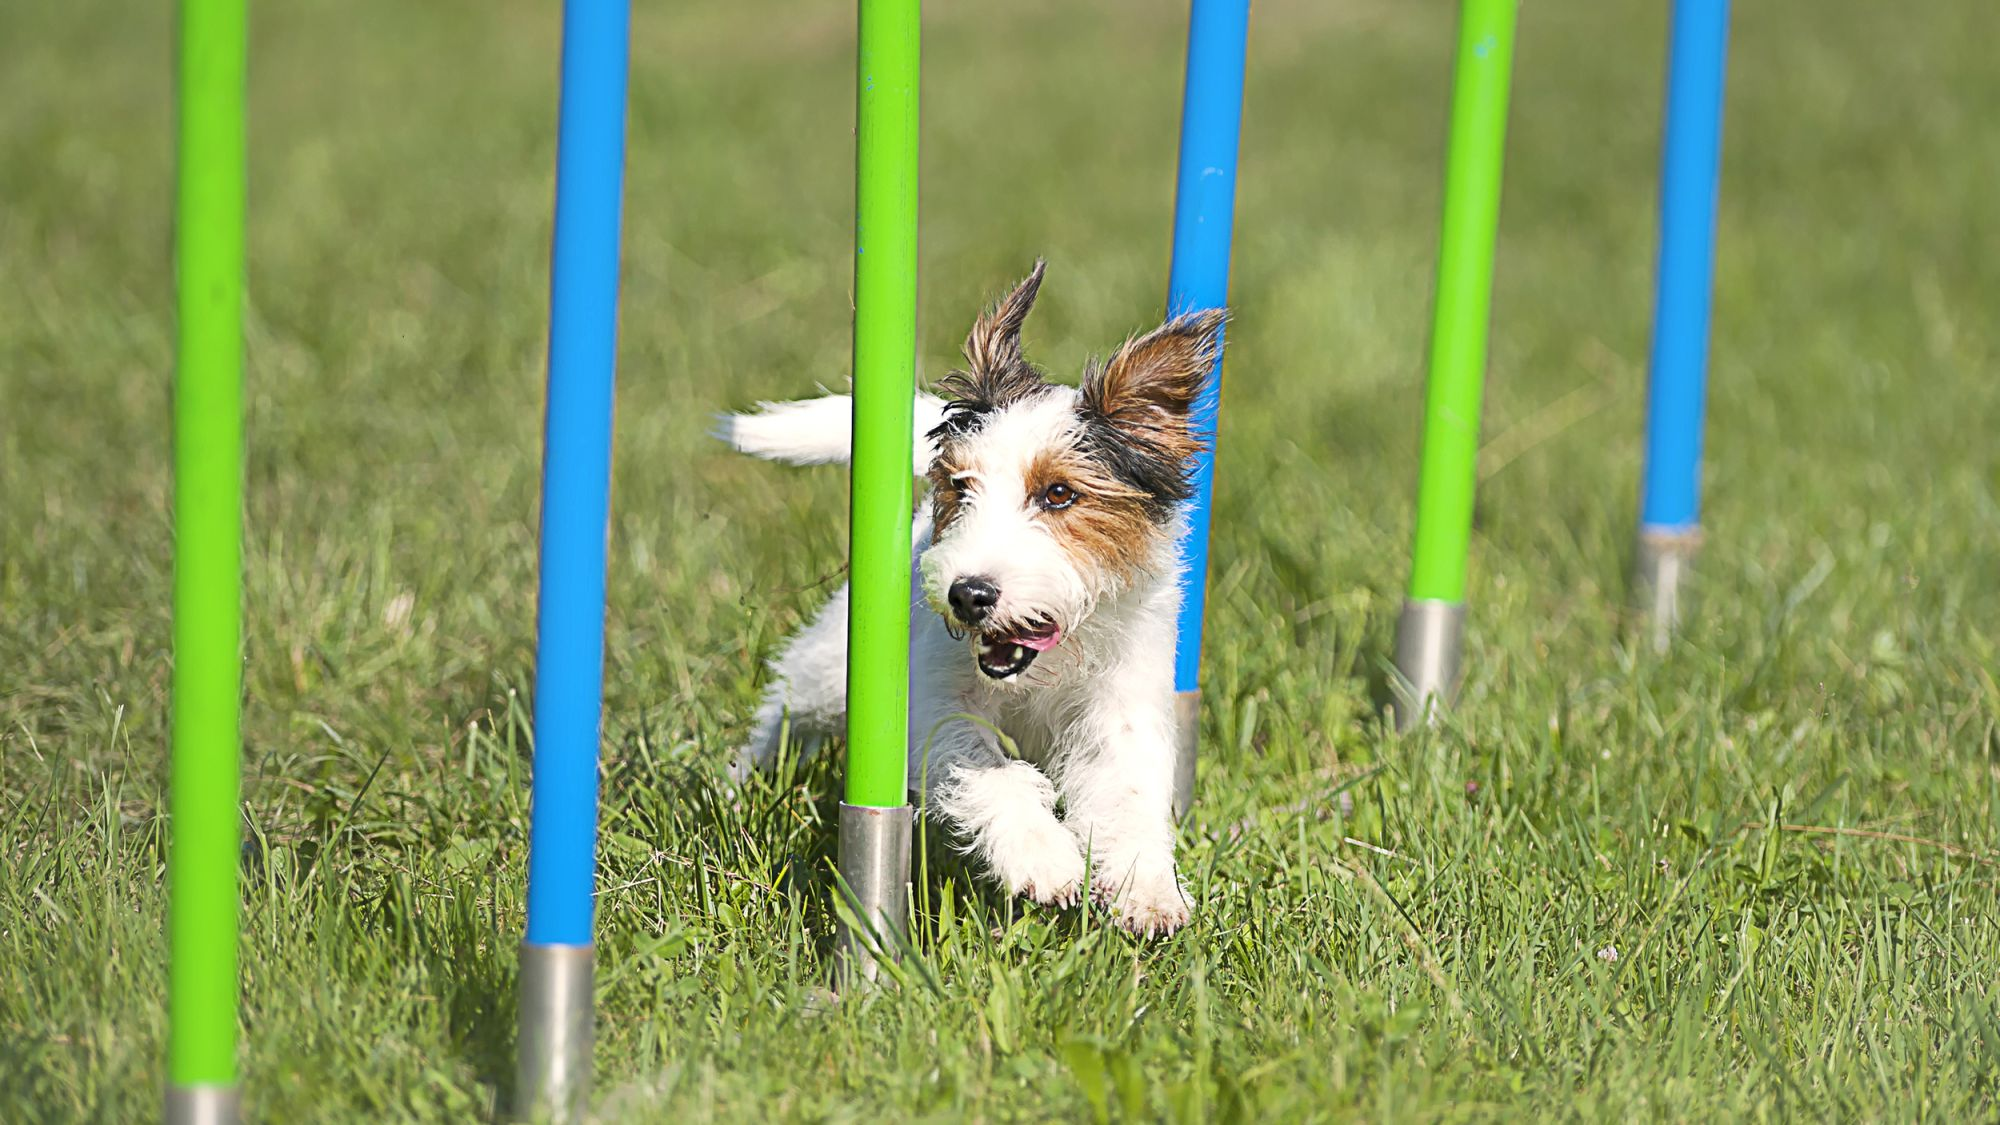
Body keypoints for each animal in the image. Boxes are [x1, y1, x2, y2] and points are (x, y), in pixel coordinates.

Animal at [720, 258, 1216, 932]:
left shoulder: (1123, 702)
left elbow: (1128, 790)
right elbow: (988, 769)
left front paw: (1149, 889)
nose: (969, 594)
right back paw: (739, 784)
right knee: (787, 708)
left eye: (1060, 493)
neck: (1041, 673)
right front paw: (1043, 858)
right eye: (959, 485)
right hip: (828, 669)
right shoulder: (931, 699)